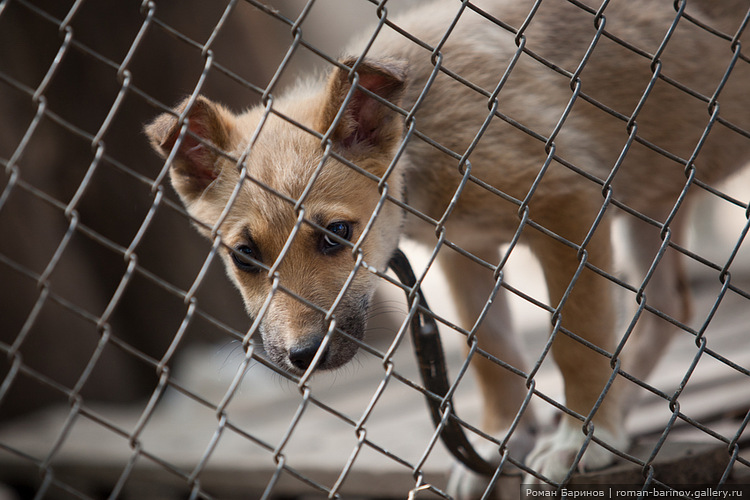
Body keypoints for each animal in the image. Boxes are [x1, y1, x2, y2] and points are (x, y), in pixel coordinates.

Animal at [146, 0, 750, 496]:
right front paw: (502, 439)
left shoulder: (569, 208)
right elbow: (491, 352)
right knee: (667, 307)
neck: (418, 134)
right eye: (244, 255)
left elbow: (578, 338)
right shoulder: (463, 250)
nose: (304, 357)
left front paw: (582, 438)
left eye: (337, 234)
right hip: (653, 203)